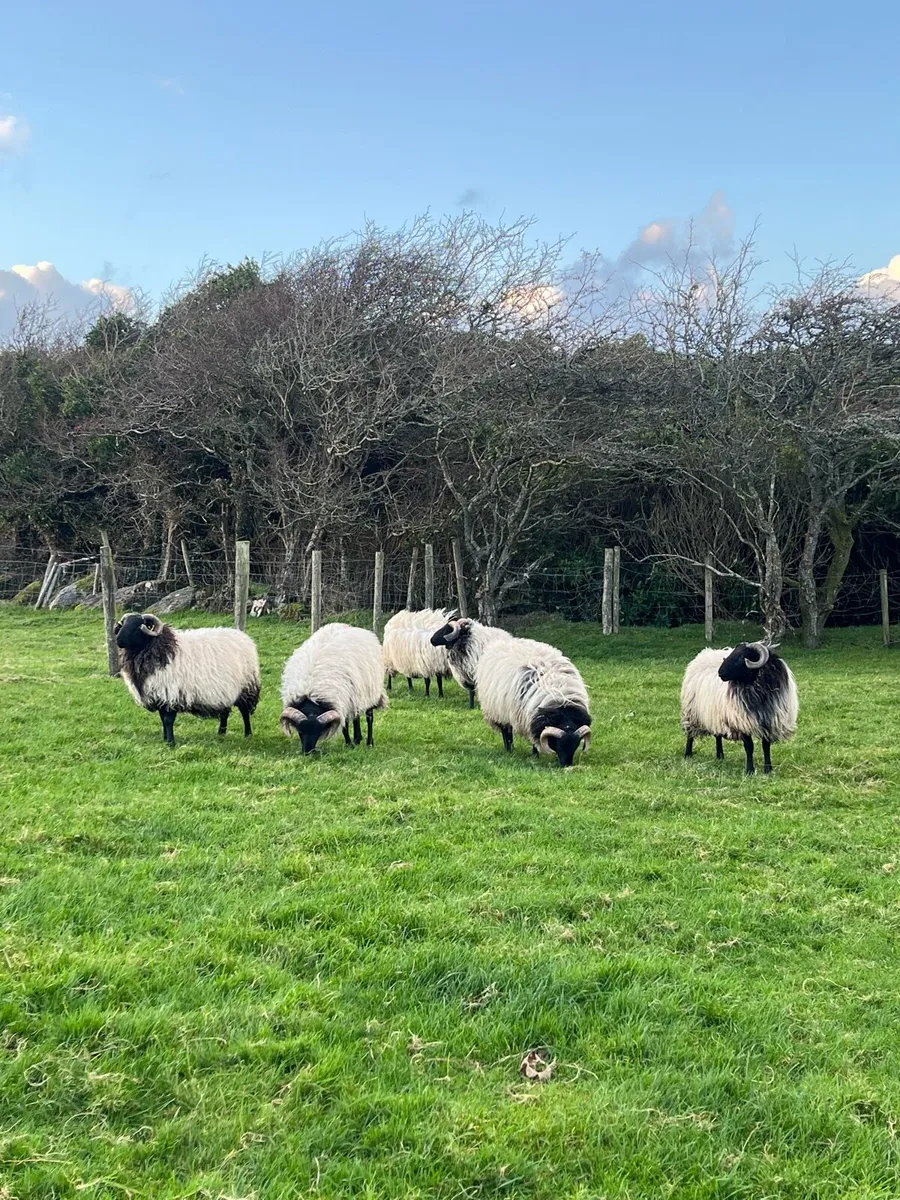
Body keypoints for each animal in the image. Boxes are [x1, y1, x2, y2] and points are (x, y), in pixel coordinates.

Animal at [114, 612, 261, 747]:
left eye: (138, 626)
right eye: (123, 623)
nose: (118, 640)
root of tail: (244, 637)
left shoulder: (171, 693)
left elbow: (168, 720)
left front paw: (171, 743)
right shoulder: (159, 695)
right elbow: (162, 719)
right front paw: (165, 739)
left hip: (246, 687)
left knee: (244, 712)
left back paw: (248, 734)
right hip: (224, 690)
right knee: (225, 712)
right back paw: (221, 733)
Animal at [280, 622, 388, 754]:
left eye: (319, 731)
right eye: (300, 731)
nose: (308, 752)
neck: (311, 694)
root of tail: (351, 626)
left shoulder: (342, 702)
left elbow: (345, 725)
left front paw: (350, 744)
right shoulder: (344, 701)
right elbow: (346, 725)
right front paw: (351, 743)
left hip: (370, 692)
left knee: (369, 718)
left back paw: (369, 743)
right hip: (356, 696)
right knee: (356, 716)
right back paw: (357, 739)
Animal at [477, 636, 592, 766]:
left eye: (576, 745)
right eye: (558, 744)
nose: (566, 765)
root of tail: (504, 641)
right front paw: (535, 755)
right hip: (499, 710)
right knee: (506, 731)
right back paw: (509, 750)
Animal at [680, 641, 798, 774]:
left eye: (742, 657)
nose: (720, 673)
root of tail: (703, 654)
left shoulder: (769, 722)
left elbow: (766, 746)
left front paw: (768, 769)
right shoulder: (742, 722)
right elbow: (749, 747)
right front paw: (750, 770)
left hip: (715, 712)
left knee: (717, 735)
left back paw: (720, 755)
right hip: (691, 711)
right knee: (690, 734)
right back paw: (688, 754)